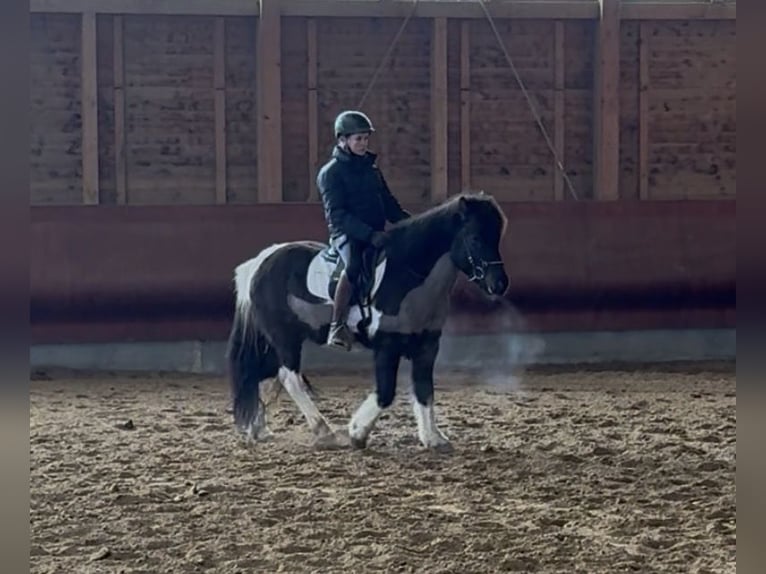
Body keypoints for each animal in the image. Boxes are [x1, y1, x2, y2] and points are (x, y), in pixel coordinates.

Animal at [225, 191, 510, 451]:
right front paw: (357, 432)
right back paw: (324, 431)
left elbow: (425, 390)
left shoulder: (427, 347)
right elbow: (385, 393)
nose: (499, 284)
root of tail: (261, 262)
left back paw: (258, 429)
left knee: (266, 377)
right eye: (475, 238)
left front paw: (433, 438)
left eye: (497, 237)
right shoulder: (387, 347)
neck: (407, 278)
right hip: (285, 338)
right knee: (288, 378)